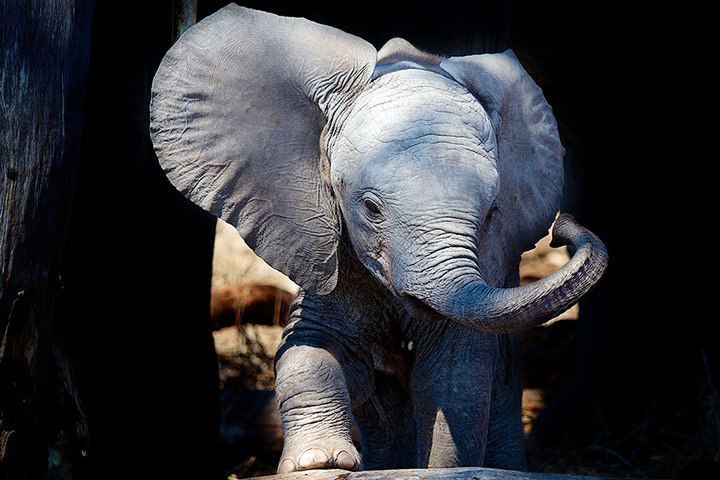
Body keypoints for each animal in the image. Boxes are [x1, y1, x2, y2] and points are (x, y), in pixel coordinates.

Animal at [149, 4, 608, 473]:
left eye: (492, 213)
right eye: (371, 208)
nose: (562, 230)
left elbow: (454, 384)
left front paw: (440, 470)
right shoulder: (326, 248)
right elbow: (310, 349)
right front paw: (318, 462)